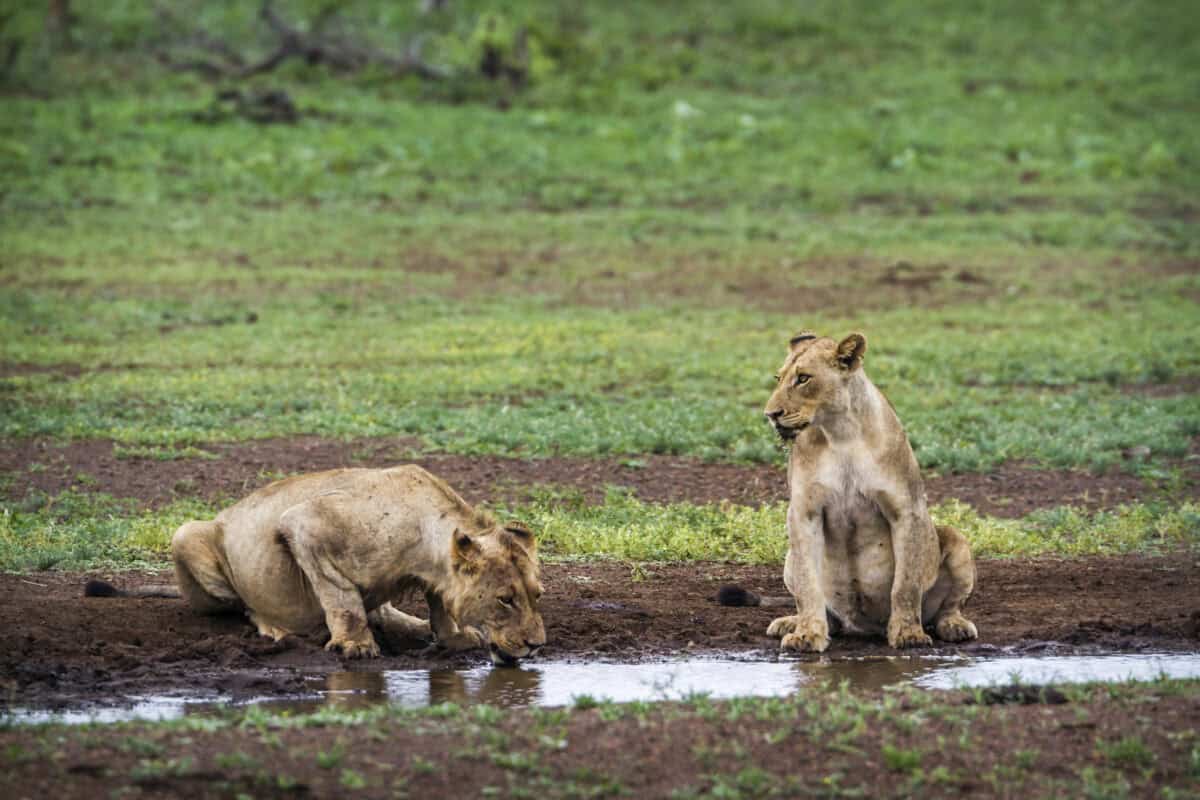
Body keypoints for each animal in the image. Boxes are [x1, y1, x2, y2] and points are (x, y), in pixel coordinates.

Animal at [85, 465, 546, 664]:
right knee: (242, 606)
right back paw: (276, 629)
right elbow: (341, 599)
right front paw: (355, 645)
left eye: (536, 595)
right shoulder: (303, 524)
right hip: (186, 533)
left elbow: (438, 602)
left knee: (383, 609)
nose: (537, 645)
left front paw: (451, 636)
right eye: (505, 599)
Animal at [719, 331, 977, 652]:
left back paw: (954, 626)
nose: (770, 414)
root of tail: (865, 627)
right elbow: (808, 585)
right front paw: (806, 634)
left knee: (949, 607)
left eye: (803, 378)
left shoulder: (906, 509)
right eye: (779, 378)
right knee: (821, 607)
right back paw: (790, 622)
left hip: (956, 539)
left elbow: (905, 584)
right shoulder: (804, 512)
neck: (840, 432)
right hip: (789, 557)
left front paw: (908, 634)